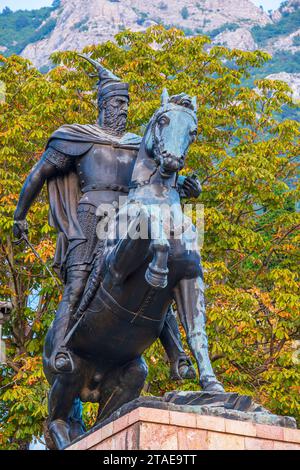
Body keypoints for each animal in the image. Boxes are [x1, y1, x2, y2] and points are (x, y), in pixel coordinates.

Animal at [43, 89, 224, 452]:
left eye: (193, 130)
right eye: (163, 119)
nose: (171, 161)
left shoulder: (191, 278)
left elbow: (197, 333)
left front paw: (212, 387)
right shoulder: (115, 270)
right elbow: (147, 223)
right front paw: (156, 269)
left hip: (130, 377)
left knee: (106, 415)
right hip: (67, 374)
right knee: (57, 421)